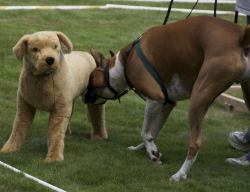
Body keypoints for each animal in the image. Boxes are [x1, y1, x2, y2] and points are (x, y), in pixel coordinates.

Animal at [0, 31, 107, 162]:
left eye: (55, 46)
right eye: (35, 49)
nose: (50, 60)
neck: (43, 77)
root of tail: (87, 54)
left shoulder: (59, 109)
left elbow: (55, 133)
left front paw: (54, 158)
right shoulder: (25, 104)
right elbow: (18, 127)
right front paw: (8, 149)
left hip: (94, 97)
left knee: (98, 114)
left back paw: (99, 136)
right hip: (70, 99)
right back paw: (68, 132)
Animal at [83, 15, 250, 181]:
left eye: (91, 81)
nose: (84, 97)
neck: (124, 63)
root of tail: (240, 35)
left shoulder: (154, 99)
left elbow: (145, 131)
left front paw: (151, 152)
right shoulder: (166, 104)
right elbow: (153, 132)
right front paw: (148, 150)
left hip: (198, 98)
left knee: (195, 143)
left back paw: (180, 174)